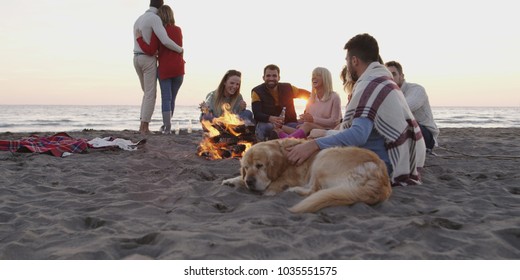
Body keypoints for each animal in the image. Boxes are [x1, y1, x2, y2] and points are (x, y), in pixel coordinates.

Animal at [221, 139, 392, 213]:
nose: (250, 181)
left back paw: (293, 190)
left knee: (314, 190)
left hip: (324, 156)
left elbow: (274, 183)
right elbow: (239, 178)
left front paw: (271, 189)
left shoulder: (289, 176)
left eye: (259, 166)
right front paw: (231, 180)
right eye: (245, 167)